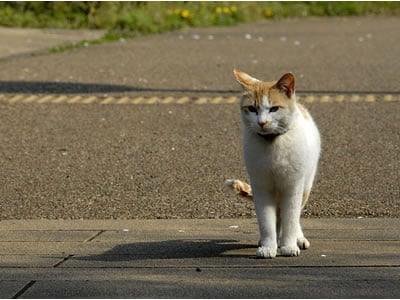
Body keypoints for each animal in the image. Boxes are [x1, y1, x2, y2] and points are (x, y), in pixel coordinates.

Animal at [225, 70, 322, 258]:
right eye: (252, 109)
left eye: (274, 109)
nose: (262, 123)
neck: (272, 144)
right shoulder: (262, 187)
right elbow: (266, 222)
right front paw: (269, 246)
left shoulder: (293, 187)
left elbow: (290, 220)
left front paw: (289, 246)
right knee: (277, 217)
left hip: (305, 186)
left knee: (293, 217)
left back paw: (297, 238)